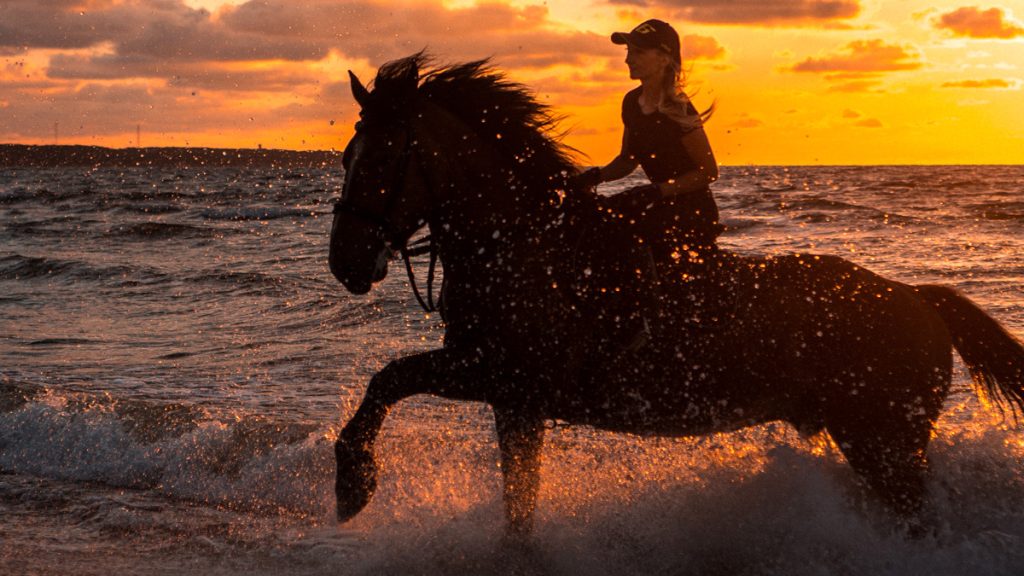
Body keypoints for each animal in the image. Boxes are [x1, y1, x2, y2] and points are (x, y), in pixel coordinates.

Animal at [327, 53, 1024, 532]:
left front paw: (353, 485)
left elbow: (387, 379)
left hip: (884, 443)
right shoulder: (513, 400)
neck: (522, 244)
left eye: (383, 157)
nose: (344, 263)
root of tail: (918, 296)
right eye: (344, 156)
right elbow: (517, 505)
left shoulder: (496, 371)